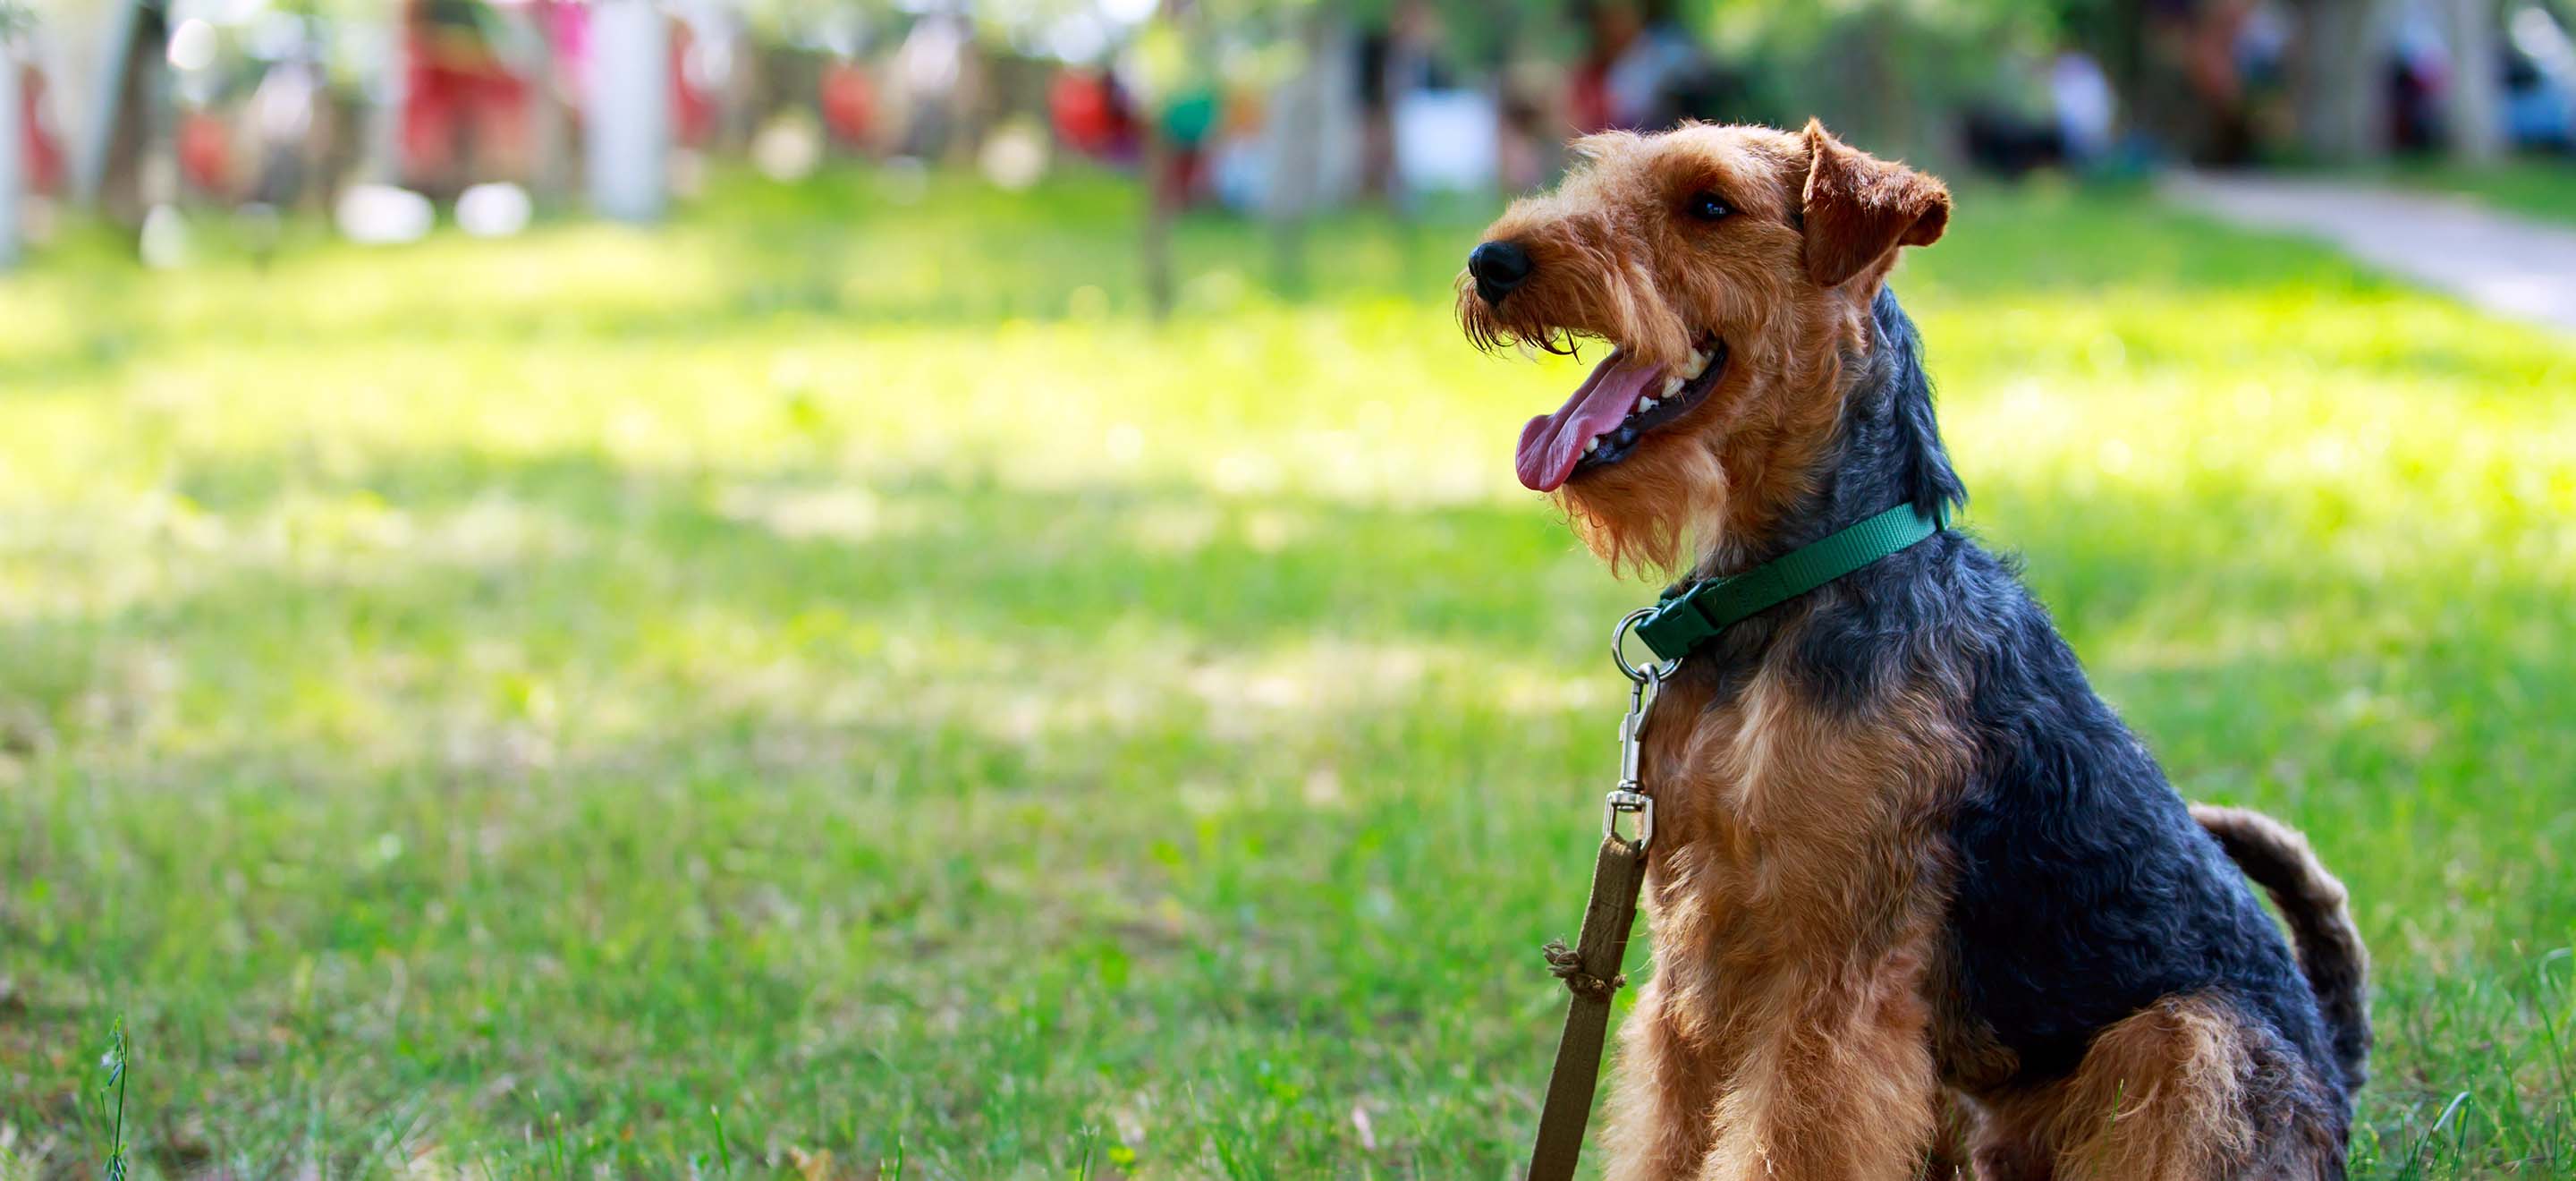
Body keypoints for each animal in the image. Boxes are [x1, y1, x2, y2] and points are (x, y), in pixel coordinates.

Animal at [1462, 122, 2360, 1181]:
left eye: (1710, 204)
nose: (1493, 262)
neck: (1789, 590)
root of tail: (2342, 1072)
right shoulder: (1692, 951)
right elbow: (1670, 1130)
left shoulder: (1833, 967)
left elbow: (1790, 1133)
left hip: (2185, 1044)